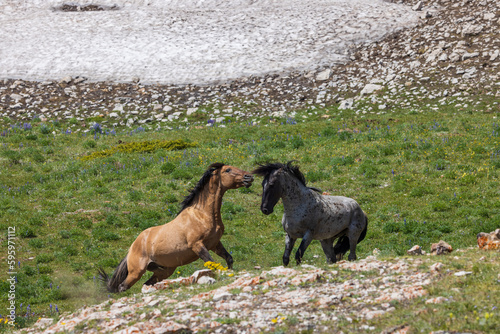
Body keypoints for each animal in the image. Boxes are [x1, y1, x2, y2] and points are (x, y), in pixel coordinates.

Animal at [99, 163, 252, 290]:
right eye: (228, 170)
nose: (249, 177)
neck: (201, 215)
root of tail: (131, 248)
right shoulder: (197, 246)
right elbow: (213, 264)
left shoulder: (215, 244)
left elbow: (228, 259)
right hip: (136, 272)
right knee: (123, 287)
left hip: (164, 271)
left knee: (146, 284)